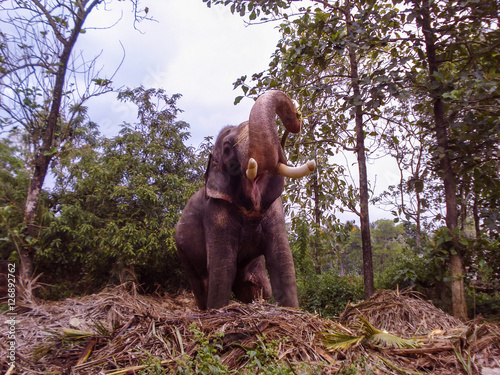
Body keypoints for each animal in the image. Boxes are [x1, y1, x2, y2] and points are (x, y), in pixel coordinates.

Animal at [177, 89, 316, 310]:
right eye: (227, 149)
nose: (296, 118)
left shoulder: (275, 210)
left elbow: (282, 260)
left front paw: (291, 310)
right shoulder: (215, 212)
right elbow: (222, 265)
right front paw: (218, 310)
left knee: (258, 285)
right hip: (182, 251)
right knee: (201, 284)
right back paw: (205, 309)